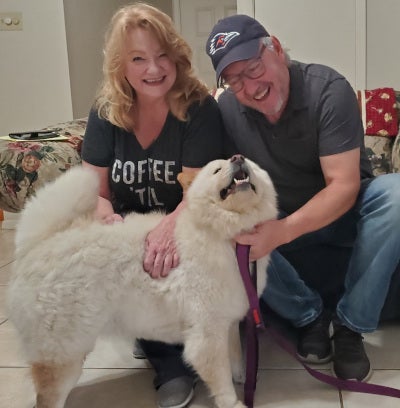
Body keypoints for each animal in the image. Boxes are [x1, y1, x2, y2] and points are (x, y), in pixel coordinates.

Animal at [6, 155, 276, 406]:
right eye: (217, 170)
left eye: (251, 164)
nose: (238, 158)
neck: (228, 236)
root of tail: (35, 246)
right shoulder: (207, 335)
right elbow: (221, 379)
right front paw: (234, 402)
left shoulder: (228, 320)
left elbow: (236, 355)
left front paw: (244, 377)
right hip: (63, 353)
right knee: (48, 397)